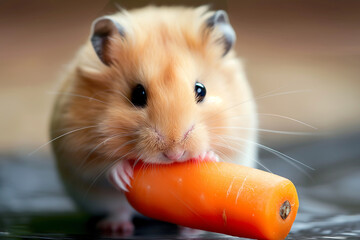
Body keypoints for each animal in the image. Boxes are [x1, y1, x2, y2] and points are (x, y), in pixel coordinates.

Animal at [50, 5, 258, 234]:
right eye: (137, 94)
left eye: (201, 90)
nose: (174, 154)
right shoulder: (75, 149)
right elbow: (101, 167)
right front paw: (123, 174)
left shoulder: (239, 141)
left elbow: (223, 154)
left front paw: (206, 156)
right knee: (119, 210)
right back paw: (116, 227)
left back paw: (190, 231)